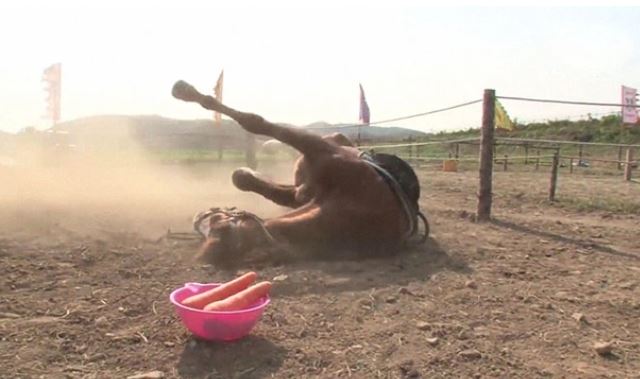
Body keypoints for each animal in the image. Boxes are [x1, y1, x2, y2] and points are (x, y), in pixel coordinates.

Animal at [172, 80, 428, 264]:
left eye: (215, 220)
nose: (199, 215)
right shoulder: (303, 188)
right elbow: (247, 179)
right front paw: (246, 171)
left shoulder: (318, 148)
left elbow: (254, 122)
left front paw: (185, 91)